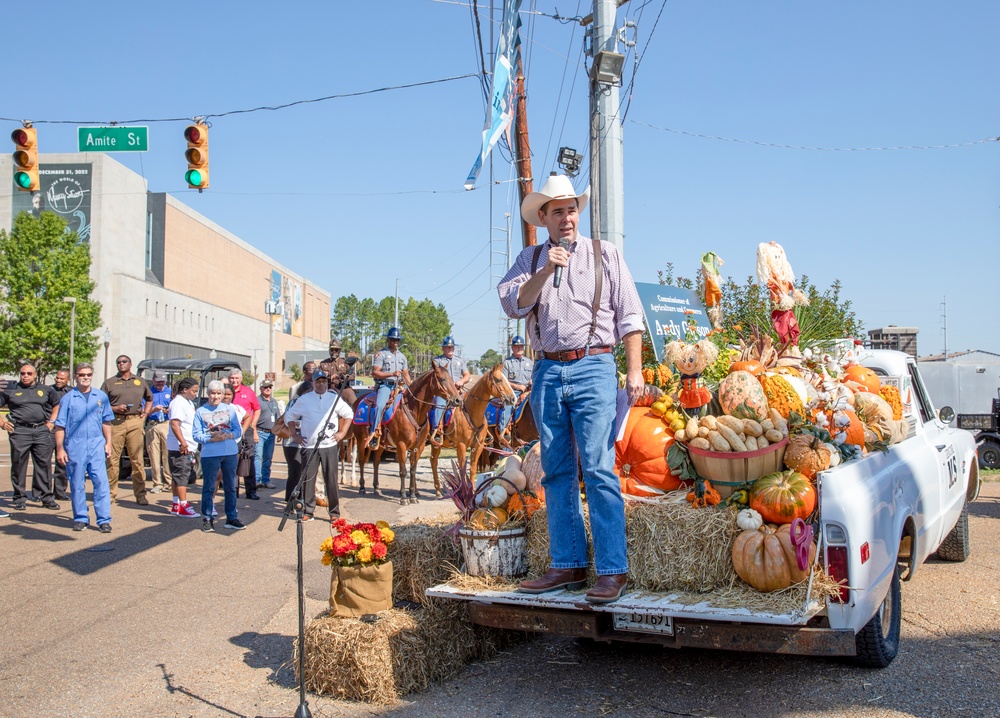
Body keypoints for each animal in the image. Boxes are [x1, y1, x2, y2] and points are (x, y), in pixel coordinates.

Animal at [352, 366, 460, 506]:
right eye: (442, 379)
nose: (458, 400)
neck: (414, 410)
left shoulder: (418, 446)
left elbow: (412, 470)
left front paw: (413, 496)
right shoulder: (401, 445)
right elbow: (403, 471)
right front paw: (404, 498)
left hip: (381, 445)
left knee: (376, 462)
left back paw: (376, 488)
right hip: (360, 439)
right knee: (361, 461)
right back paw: (362, 488)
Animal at [424, 362, 516, 498]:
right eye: (499, 380)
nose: (513, 399)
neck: (471, 413)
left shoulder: (478, 446)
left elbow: (472, 469)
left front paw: (472, 491)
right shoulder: (461, 446)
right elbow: (462, 470)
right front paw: (463, 493)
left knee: (432, 460)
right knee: (431, 461)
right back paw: (436, 491)